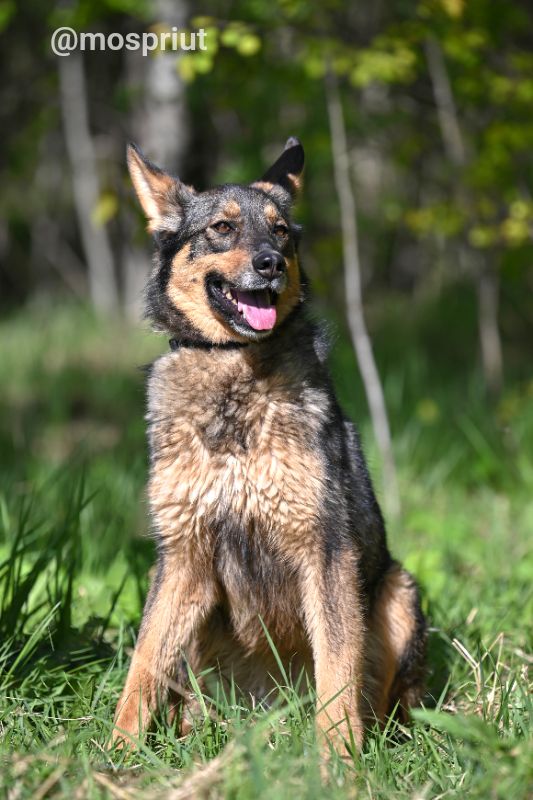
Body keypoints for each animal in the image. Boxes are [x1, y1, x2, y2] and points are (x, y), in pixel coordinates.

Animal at [113, 138, 428, 756]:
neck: (234, 378)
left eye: (280, 232)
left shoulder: (326, 550)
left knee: (383, 702)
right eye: (222, 228)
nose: (270, 265)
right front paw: (111, 756)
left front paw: (337, 763)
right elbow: (143, 664)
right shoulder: (182, 557)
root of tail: (270, 717)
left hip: (398, 591)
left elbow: (338, 675)